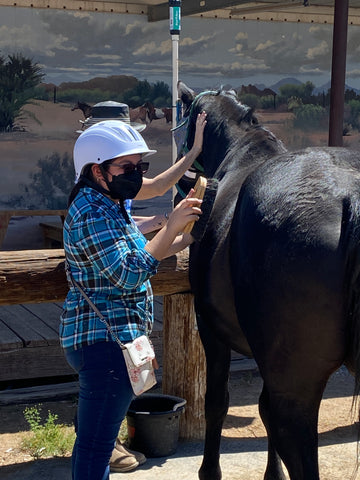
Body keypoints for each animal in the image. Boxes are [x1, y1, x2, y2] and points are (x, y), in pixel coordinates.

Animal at [176, 82, 360, 480]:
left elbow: (217, 402)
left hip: (296, 393)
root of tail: (349, 195)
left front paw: (209, 470)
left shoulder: (210, 329)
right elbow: (262, 408)